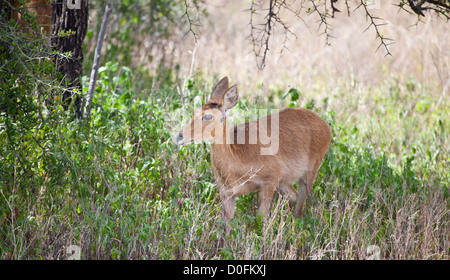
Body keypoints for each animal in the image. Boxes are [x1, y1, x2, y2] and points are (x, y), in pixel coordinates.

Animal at [177, 77, 330, 233]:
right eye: (194, 112)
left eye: (208, 116)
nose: (179, 136)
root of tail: (323, 123)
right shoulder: (226, 194)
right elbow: (227, 228)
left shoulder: (268, 184)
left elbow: (261, 221)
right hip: (284, 183)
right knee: (294, 198)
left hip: (307, 176)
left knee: (300, 208)